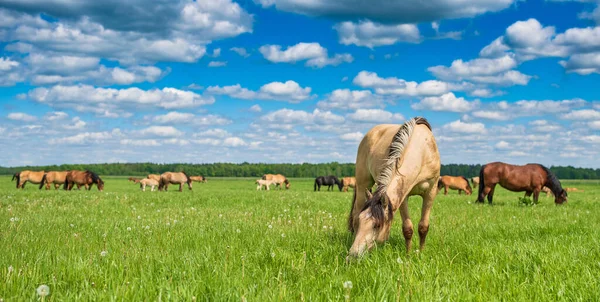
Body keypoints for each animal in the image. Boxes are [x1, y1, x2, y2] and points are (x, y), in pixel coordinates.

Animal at [346, 117, 440, 258]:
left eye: (377, 225)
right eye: (362, 221)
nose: (352, 255)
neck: (422, 151)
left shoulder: (430, 192)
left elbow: (423, 227)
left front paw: (420, 254)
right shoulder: (403, 196)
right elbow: (407, 228)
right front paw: (408, 255)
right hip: (363, 185)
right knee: (356, 211)